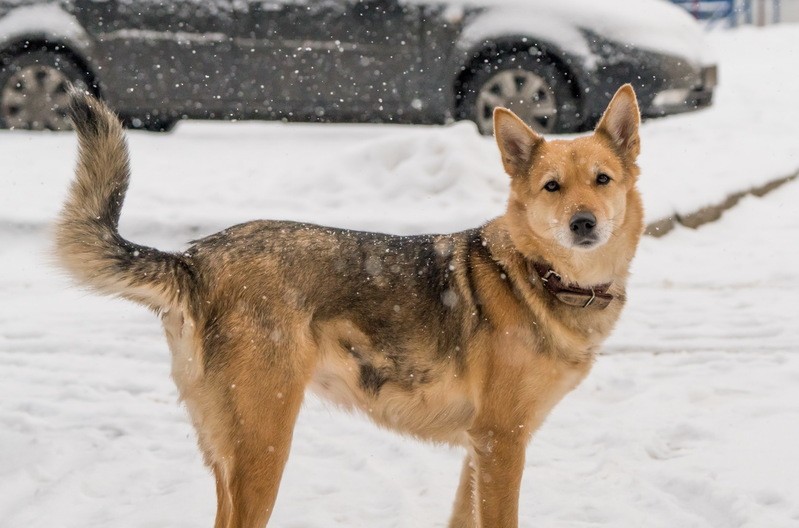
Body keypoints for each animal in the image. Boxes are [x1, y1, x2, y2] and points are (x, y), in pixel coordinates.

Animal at [54, 84, 644, 524]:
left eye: (602, 180)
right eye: (551, 187)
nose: (584, 223)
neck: (540, 276)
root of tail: (195, 259)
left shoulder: (478, 452)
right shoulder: (502, 445)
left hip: (229, 453)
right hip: (264, 448)